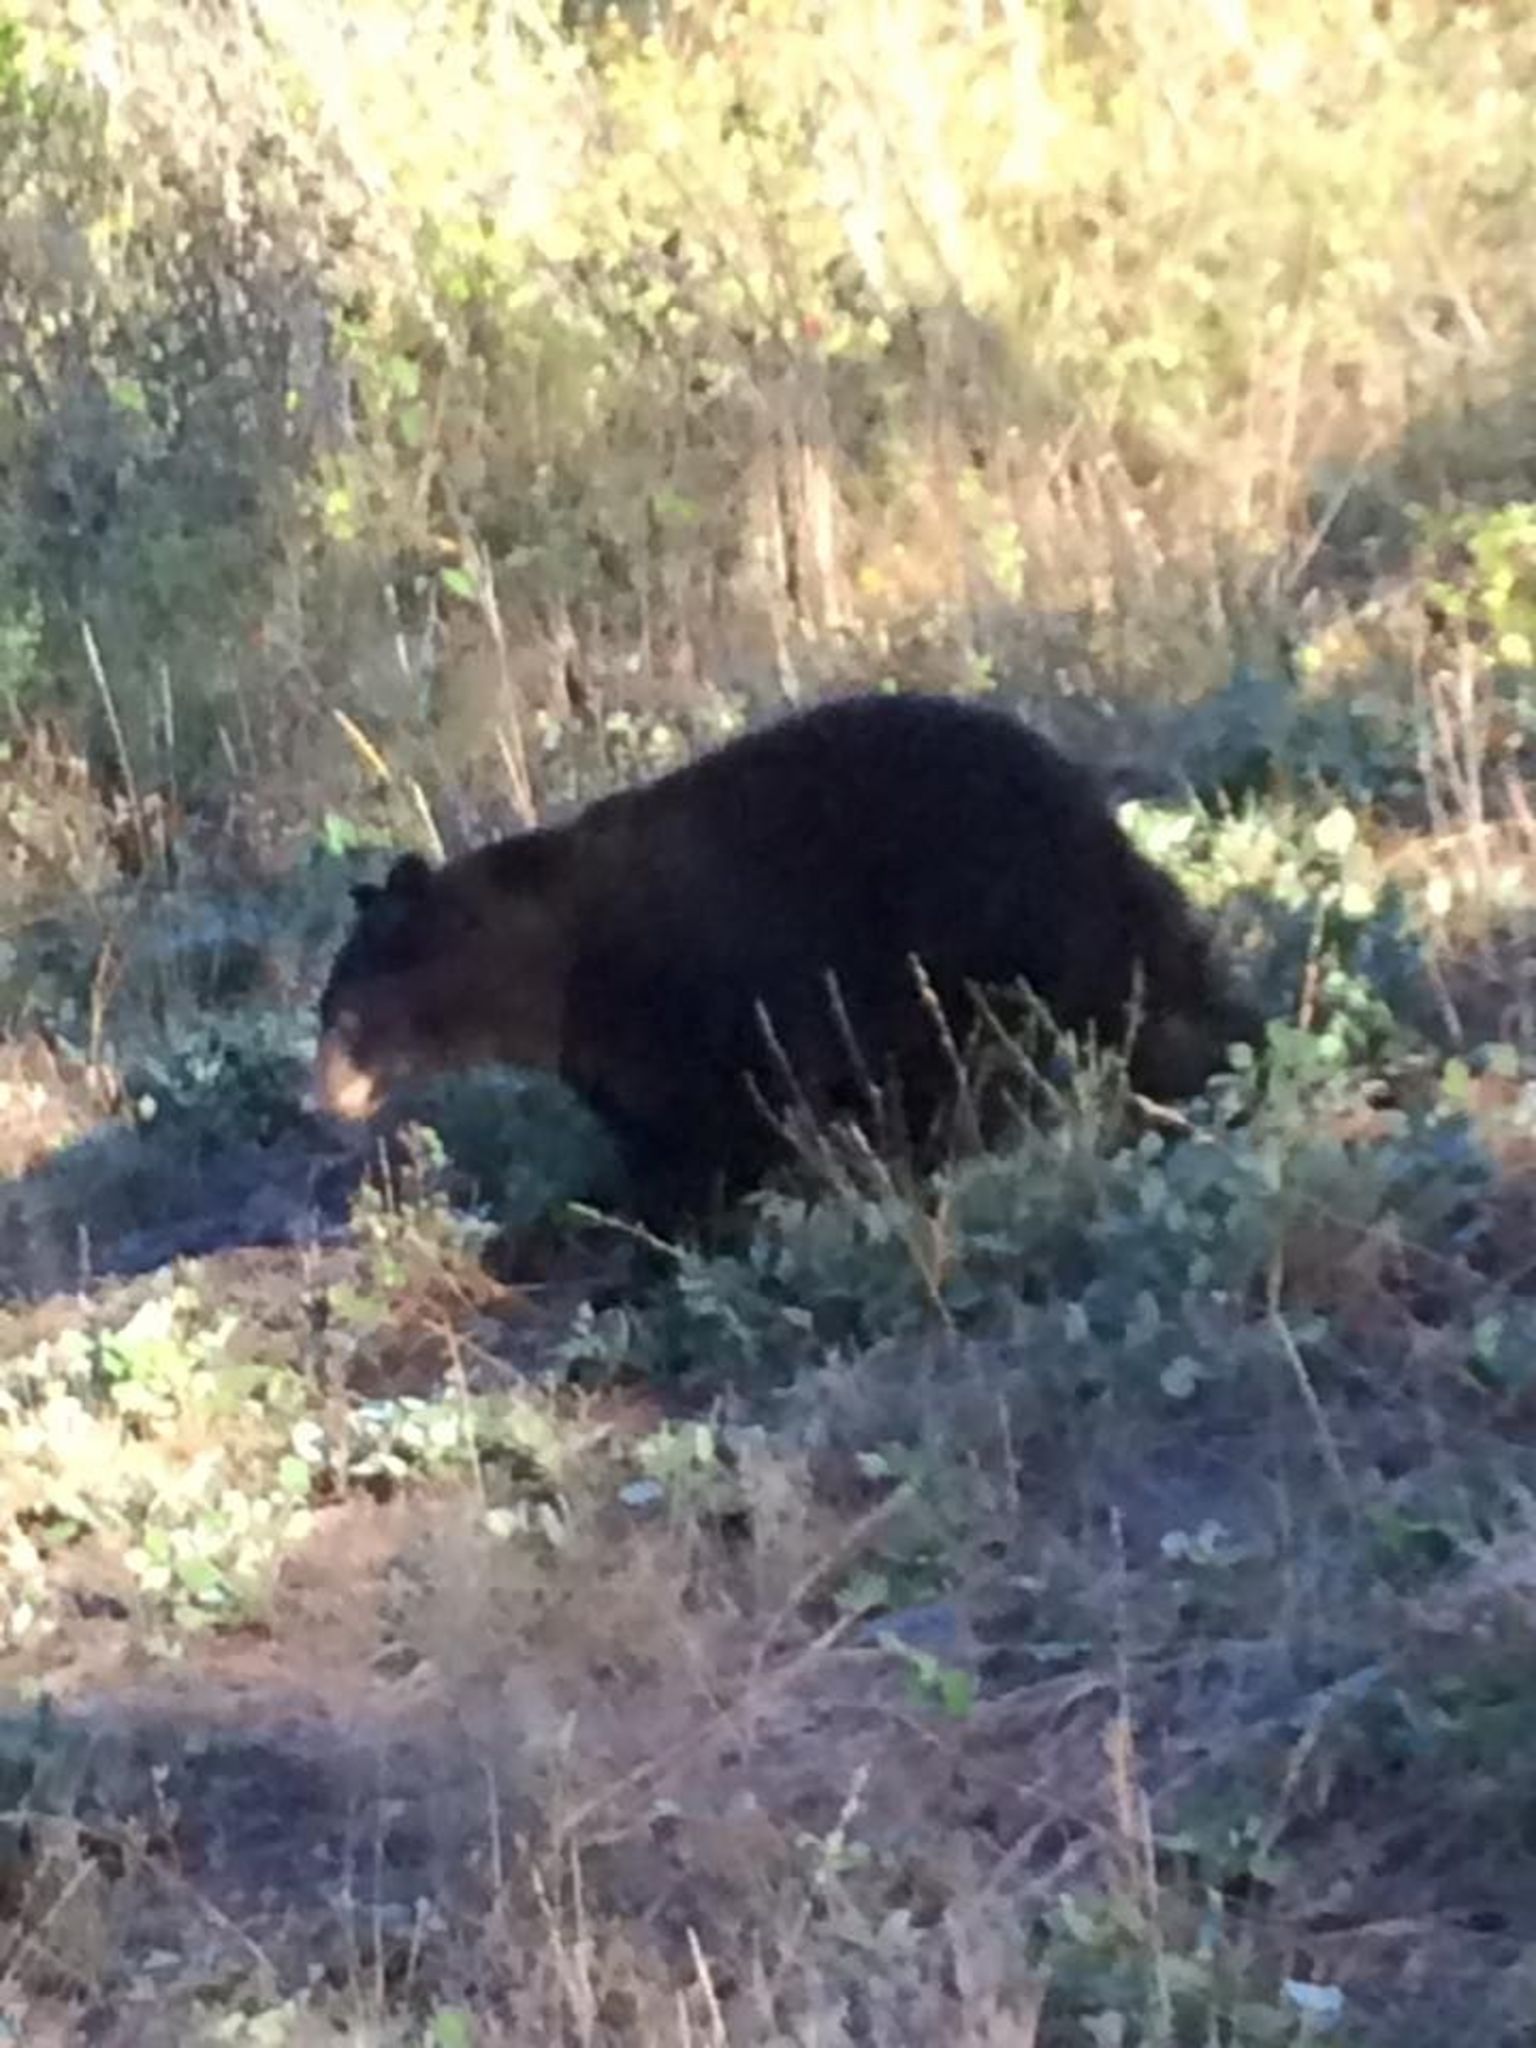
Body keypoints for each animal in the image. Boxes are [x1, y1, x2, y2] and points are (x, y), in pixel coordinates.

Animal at [313, 691, 1260, 1229]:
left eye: (346, 1015)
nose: (321, 1097)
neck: (552, 957)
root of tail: (1090, 815)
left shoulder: (693, 991)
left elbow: (725, 1121)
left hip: (993, 923)